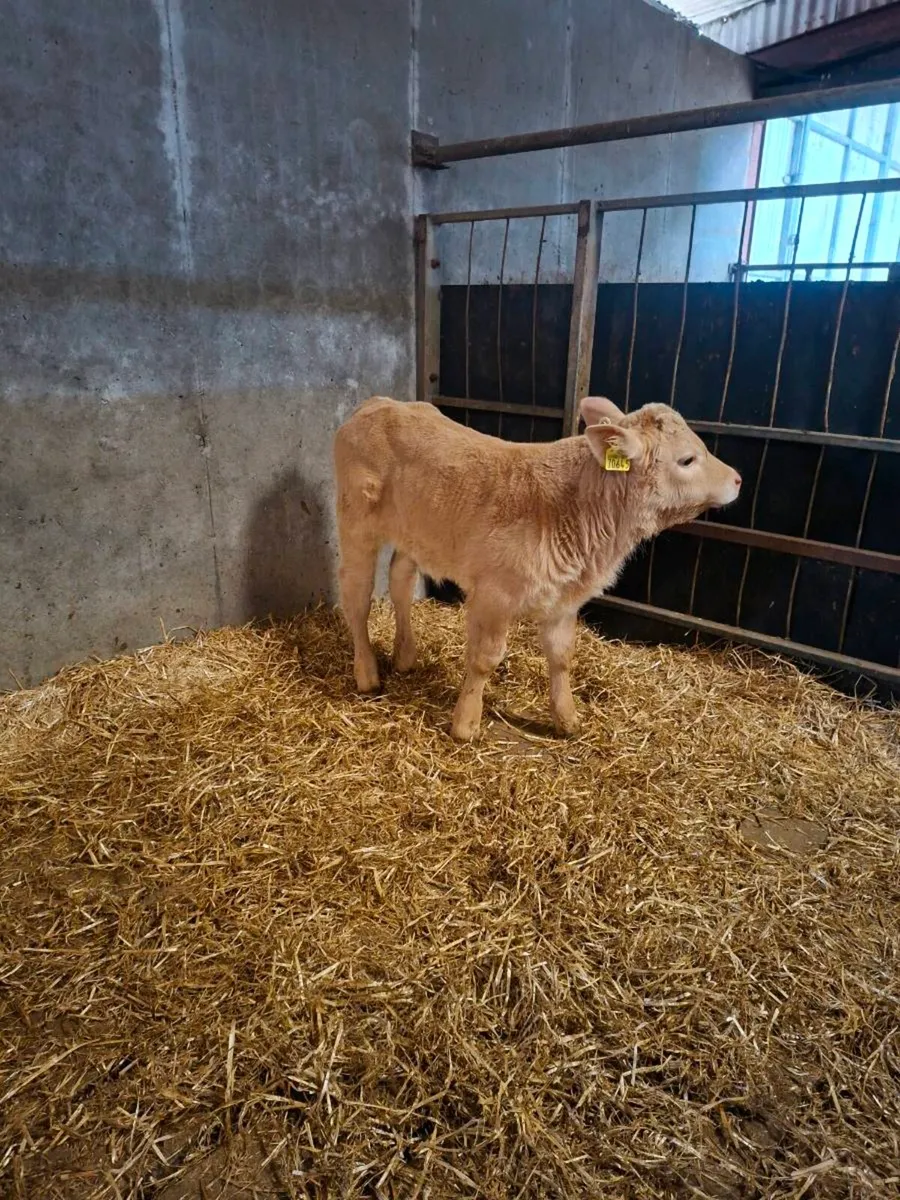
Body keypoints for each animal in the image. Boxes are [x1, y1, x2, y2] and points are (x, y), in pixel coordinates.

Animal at [333, 395, 741, 742]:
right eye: (687, 460)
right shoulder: (494, 595)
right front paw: (466, 724)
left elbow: (562, 657)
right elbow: (484, 660)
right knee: (357, 597)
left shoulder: (565, 599)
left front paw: (568, 719)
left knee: (401, 580)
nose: (738, 479)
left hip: (414, 531)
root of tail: (378, 404)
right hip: (356, 523)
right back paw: (367, 674)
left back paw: (405, 657)